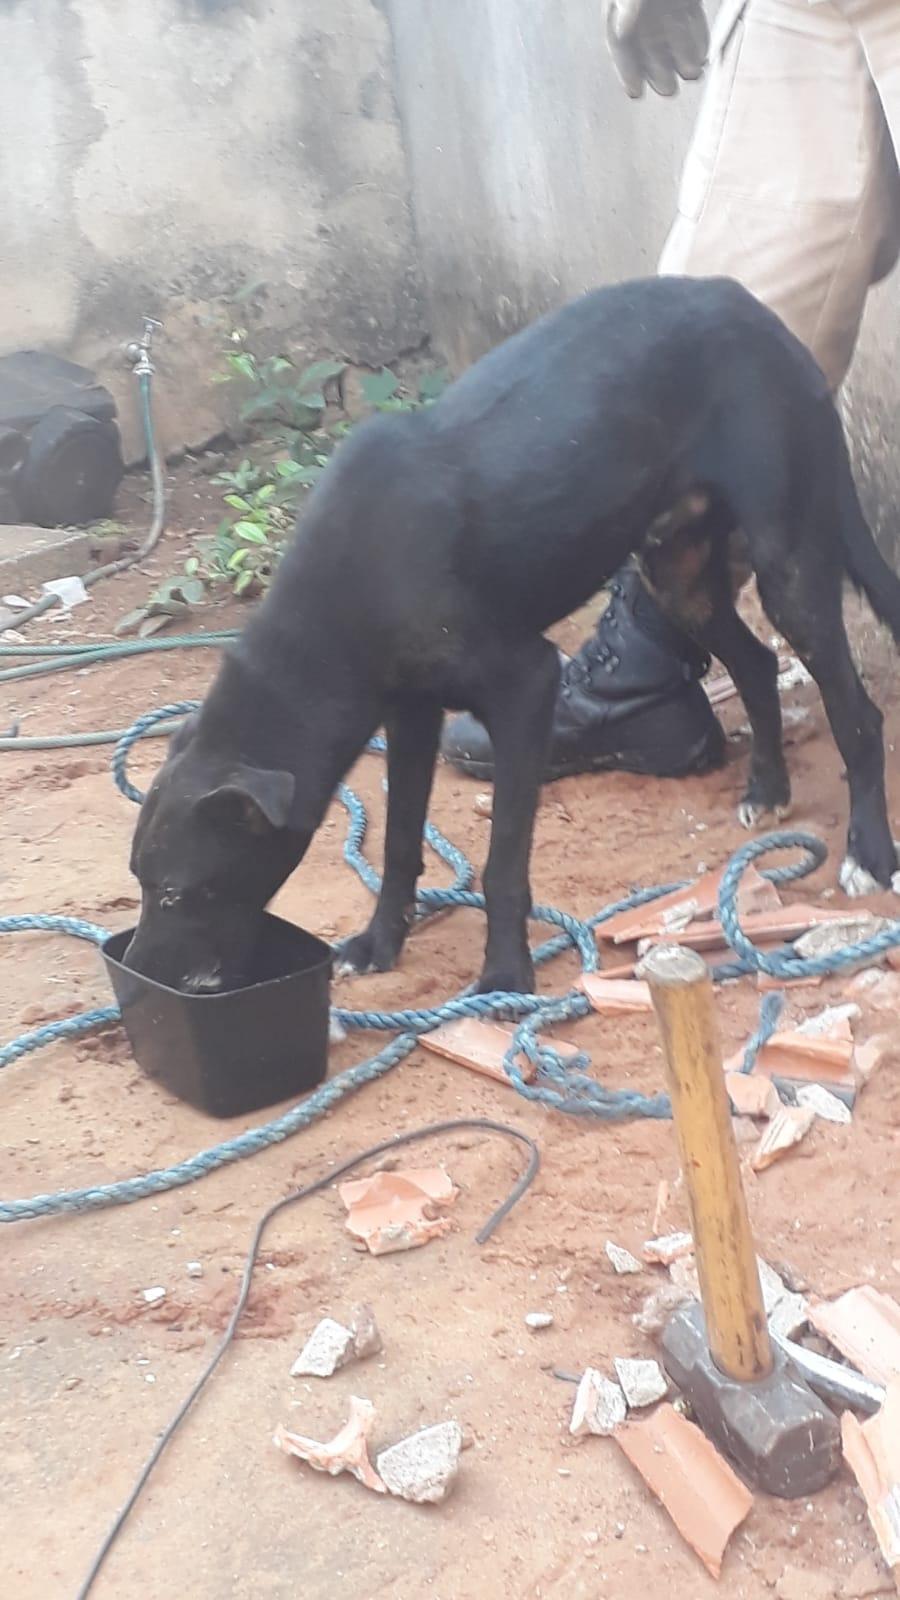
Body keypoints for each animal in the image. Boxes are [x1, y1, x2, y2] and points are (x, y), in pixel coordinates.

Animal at [124, 278, 896, 998]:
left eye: (176, 892)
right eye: (138, 879)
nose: (137, 979)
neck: (342, 606)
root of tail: (757, 312)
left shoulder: (527, 687)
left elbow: (501, 862)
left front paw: (503, 973)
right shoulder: (411, 713)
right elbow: (400, 842)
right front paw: (380, 944)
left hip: (788, 562)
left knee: (857, 715)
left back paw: (869, 853)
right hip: (678, 577)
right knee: (759, 663)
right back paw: (767, 787)